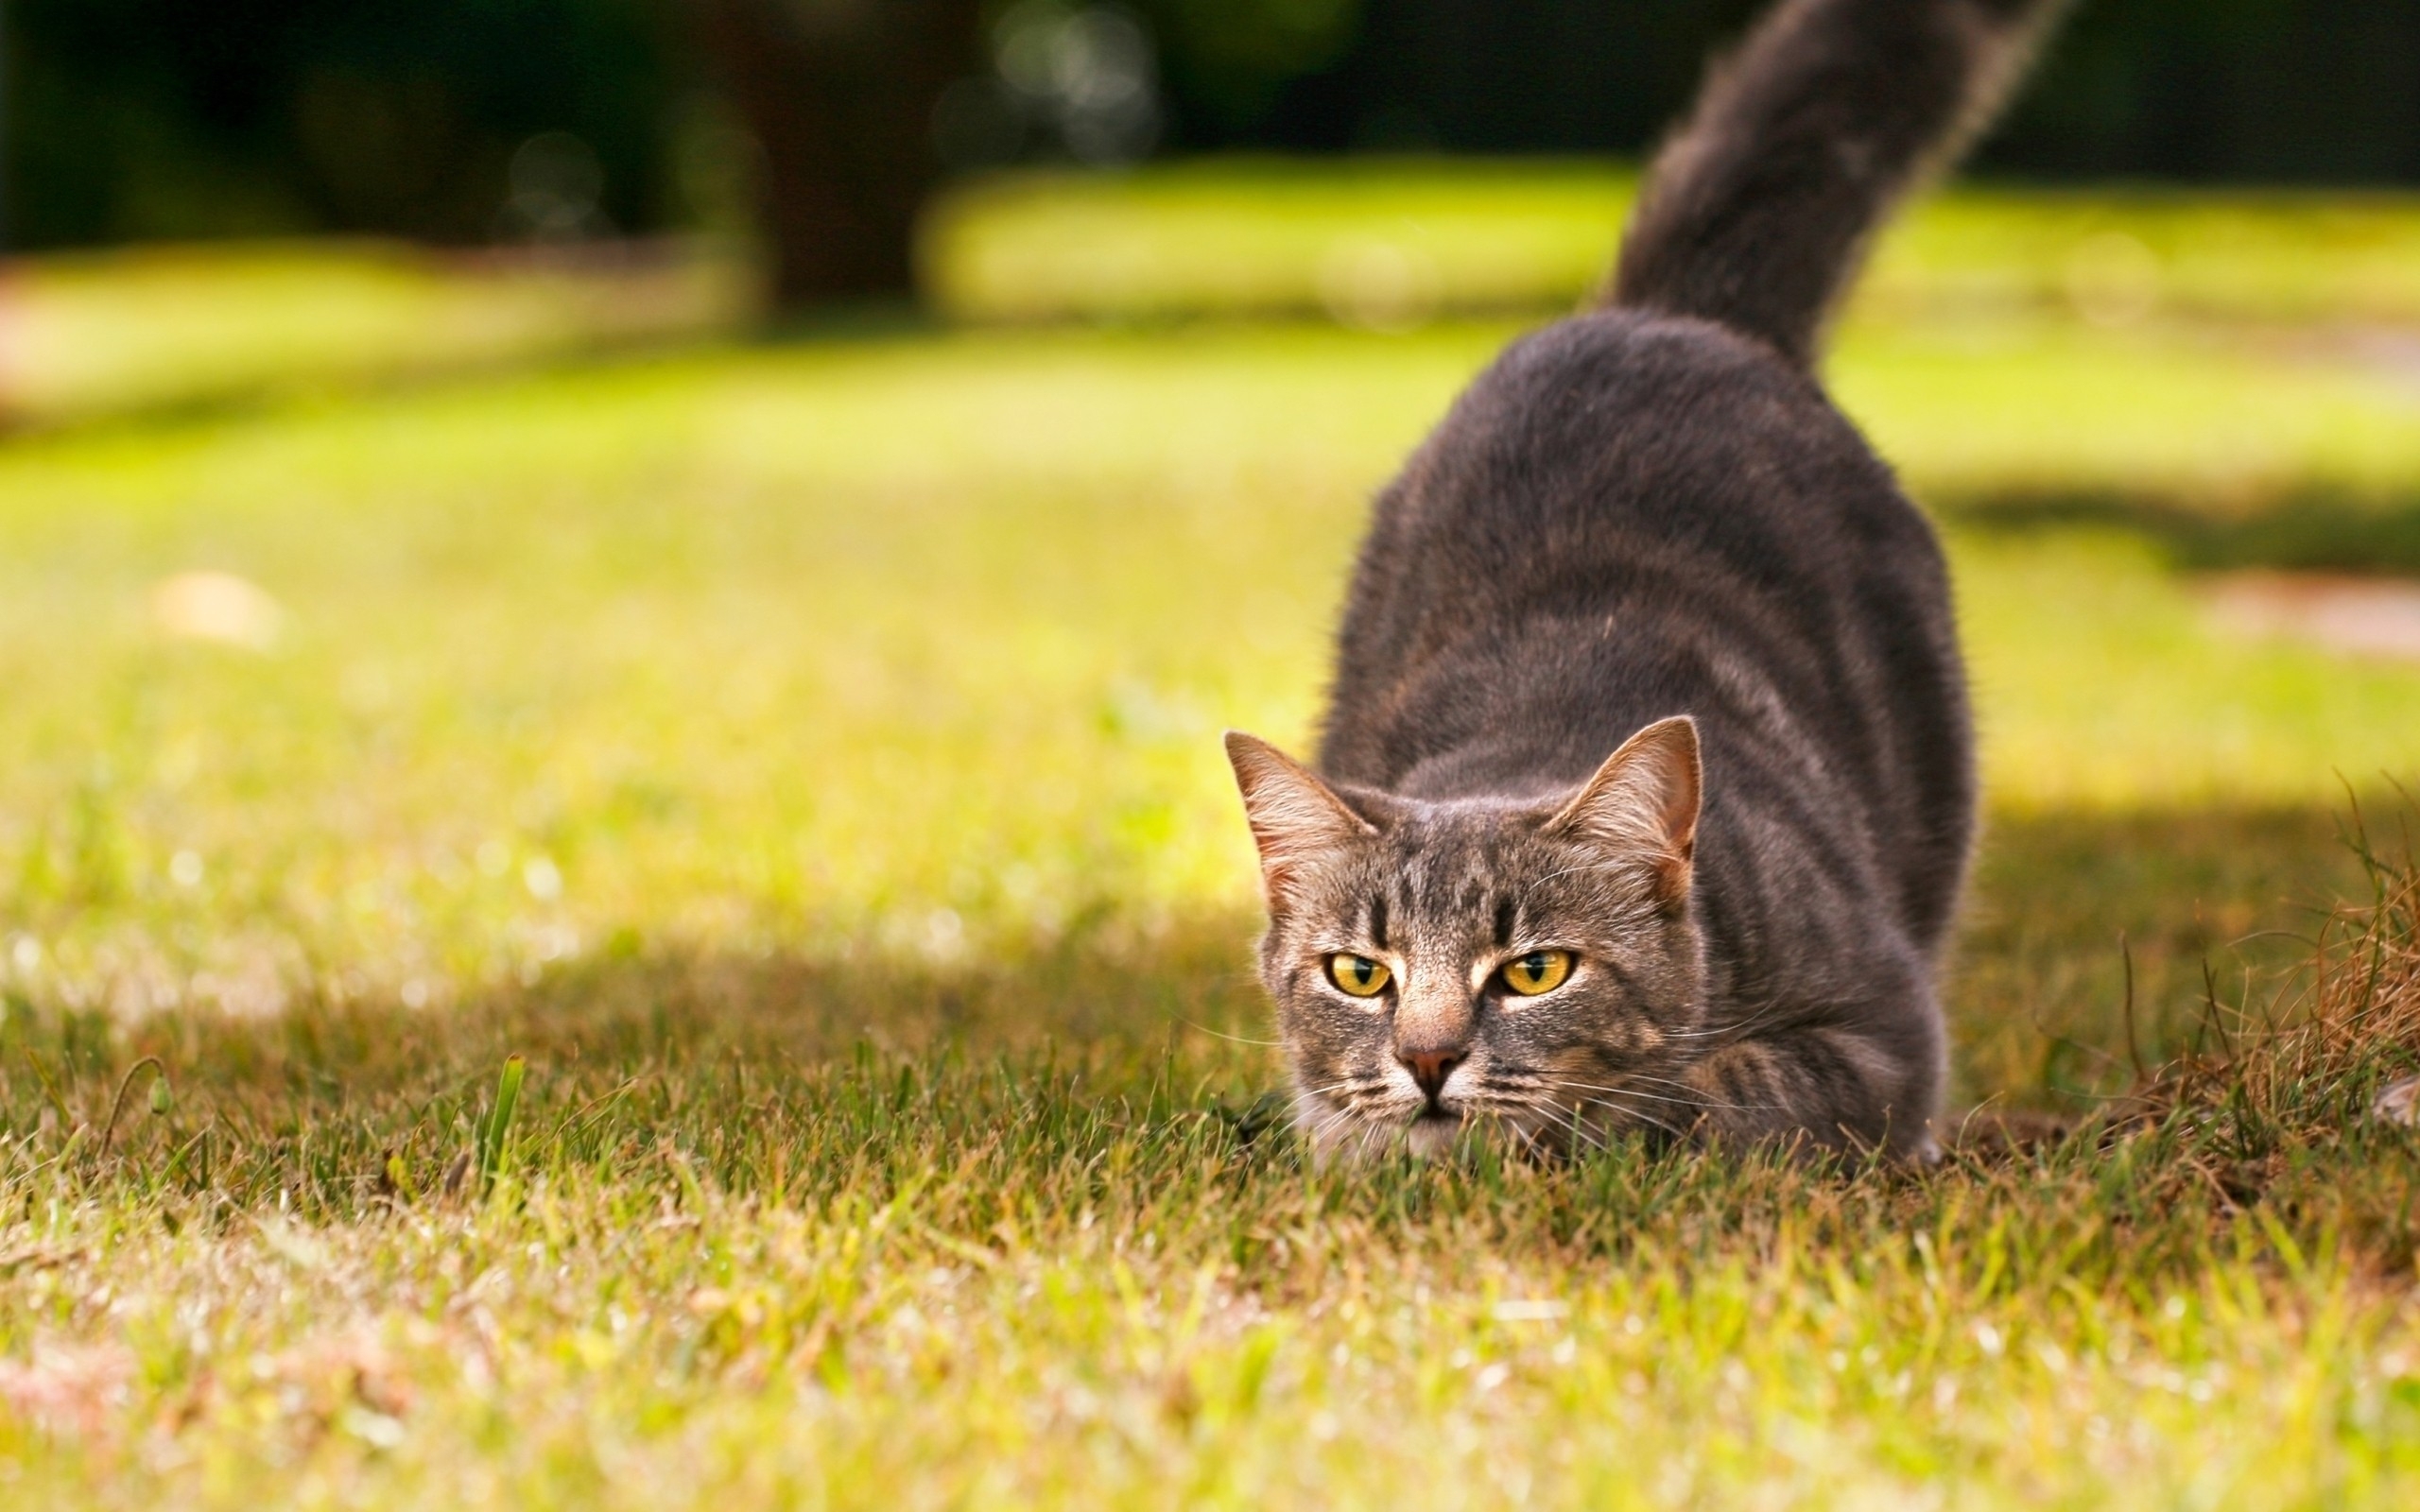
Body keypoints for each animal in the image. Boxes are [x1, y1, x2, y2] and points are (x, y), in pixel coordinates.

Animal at [1229, 0, 2081, 1160]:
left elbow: (1706, 1093)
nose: (1428, 1058)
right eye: (1361, 974)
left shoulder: (1882, 1030)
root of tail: (1666, 315)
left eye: (1535, 970)